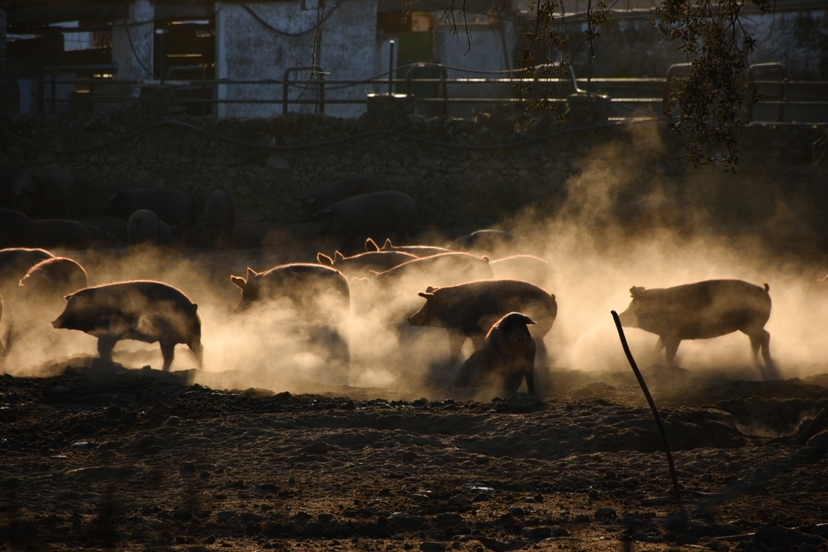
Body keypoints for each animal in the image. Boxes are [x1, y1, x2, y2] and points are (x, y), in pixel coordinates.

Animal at [52, 280, 203, 371]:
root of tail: (192, 306)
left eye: (73, 307)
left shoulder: (111, 332)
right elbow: (102, 349)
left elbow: (103, 348)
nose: (53, 322)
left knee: (185, 353)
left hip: (176, 338)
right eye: (67, 305)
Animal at [408, 279, 557, 369]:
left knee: (542, 350)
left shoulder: (456, 330)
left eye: (428, 303)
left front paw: (448, 366)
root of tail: (551, 298)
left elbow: (455, 350)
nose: (410, 319)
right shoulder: (475, 333)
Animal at [617, 279, 776, 377]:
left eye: (635, 307)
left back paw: (769, 365)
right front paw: (651, 361)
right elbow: (657, 348)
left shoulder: (675, 335)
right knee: (756, 340)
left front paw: (670, 368)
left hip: (751, 324)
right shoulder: (665, 335)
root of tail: (764, 291)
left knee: (766, 336)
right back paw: (753, 363)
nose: (619, 315)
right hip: (749, 327)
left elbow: (670, 353)